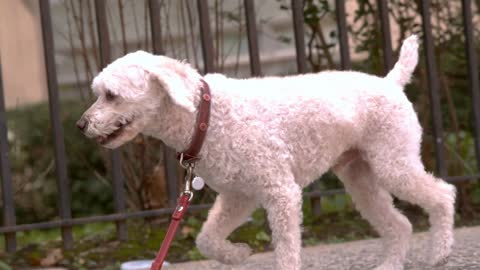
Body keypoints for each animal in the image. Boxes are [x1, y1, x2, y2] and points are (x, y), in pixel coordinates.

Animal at [78, 35, 454, 270]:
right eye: (99, 93)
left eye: (111, 95)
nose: (81, 125)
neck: (206, 115)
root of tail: (390, 82)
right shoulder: (238, 196)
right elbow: (206, 239)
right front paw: (238, 254)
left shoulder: (281, 193)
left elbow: (286, 251)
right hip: (360, 179)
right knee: (400, 224)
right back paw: (391, 263)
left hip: (394, 164)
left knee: (443, 194)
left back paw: (440, 252)